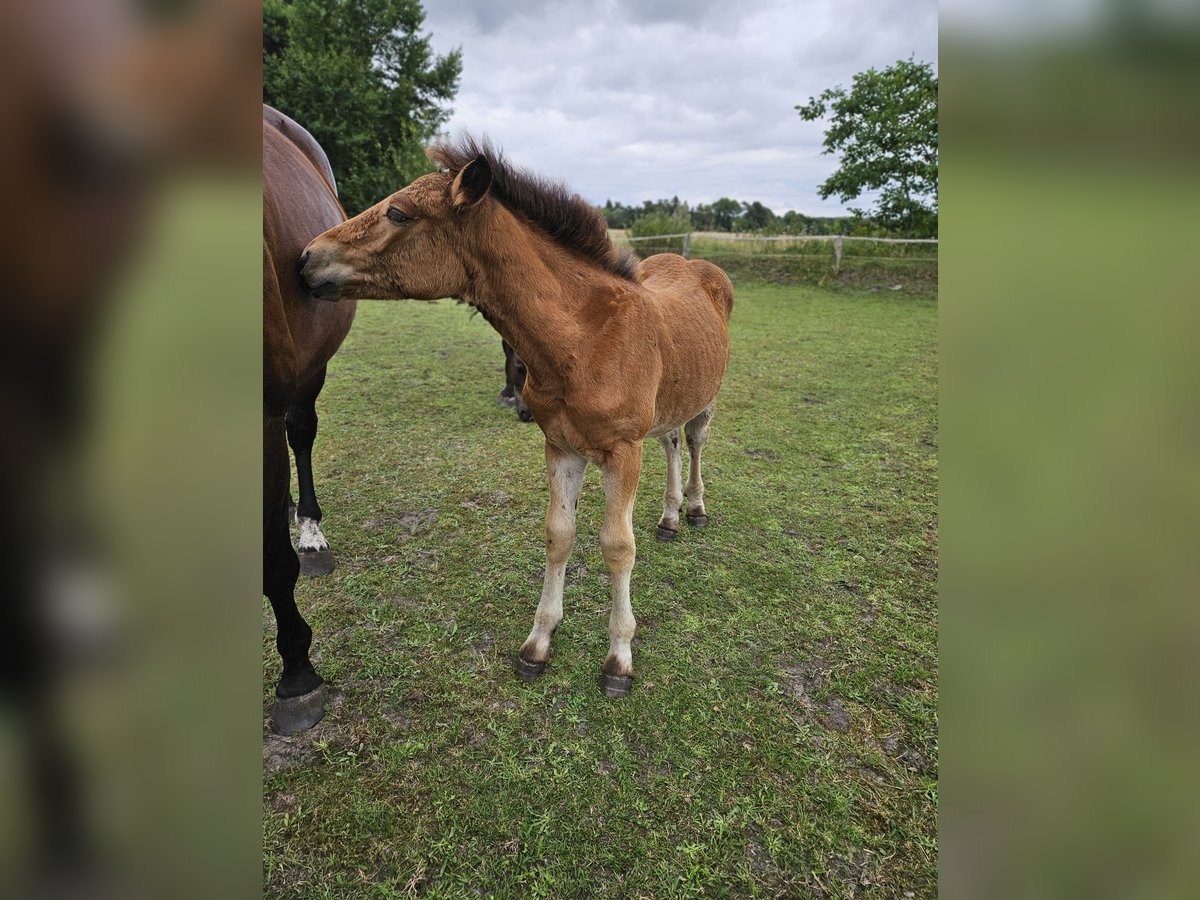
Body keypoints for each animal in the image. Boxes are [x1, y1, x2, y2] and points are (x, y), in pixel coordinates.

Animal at [298, 135, 729, 696]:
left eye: (398, 212)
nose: (306, 257)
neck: (581, 340)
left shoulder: (622, 451)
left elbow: (617, 546)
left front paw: (619, 659)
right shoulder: (561, 446)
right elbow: (559, 534)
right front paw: (538, 644)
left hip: (704, 398)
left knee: (693, 441)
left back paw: (694, 509)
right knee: (673, 442)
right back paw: (671, 517)